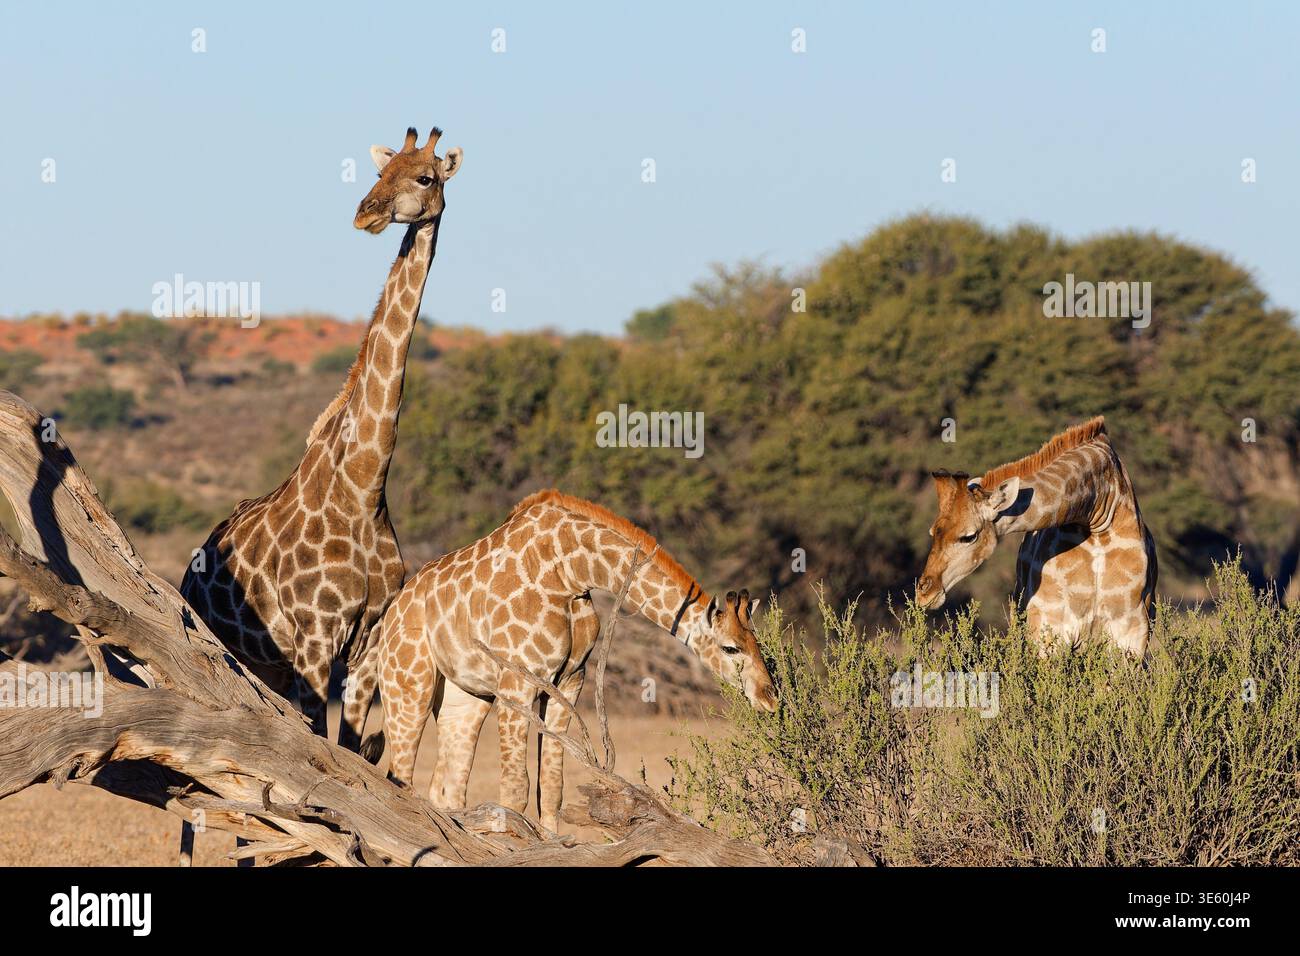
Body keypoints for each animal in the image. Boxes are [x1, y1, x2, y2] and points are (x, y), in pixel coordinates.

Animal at [179, 126, 462, 751]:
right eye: (379, 173)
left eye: (424, 176)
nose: (366, 213)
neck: (365, 485)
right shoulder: (315, 636)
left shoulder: (367, 645)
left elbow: (350, 749)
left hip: (270, 663)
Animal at [376, 490, 778, 832]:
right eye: (731, 648)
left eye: (758, 644)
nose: (770, 699)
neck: (570, 570)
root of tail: (393, 609)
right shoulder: (517, 681)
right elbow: (515, 790)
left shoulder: (568, 681)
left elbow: (551, 788)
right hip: (409, 686)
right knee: (401, 778)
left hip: (466, 697)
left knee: (447, 788)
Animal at [915, 417, 1157, 656]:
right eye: (932, 532)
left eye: (969, 536)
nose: (924, 594)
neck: (1098, 513)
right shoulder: (1049, 627)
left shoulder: (1131, 632)